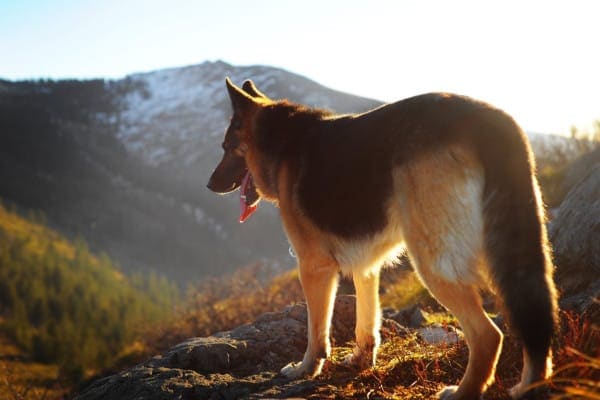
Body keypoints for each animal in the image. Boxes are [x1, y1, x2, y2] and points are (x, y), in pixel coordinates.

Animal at [206, 79, 556, 400]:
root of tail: (492, 122)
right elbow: (367, 321)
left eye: (225, 147)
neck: (281, 140)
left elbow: (316, 331)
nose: (209, 185)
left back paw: (463, 391)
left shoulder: (314, 267)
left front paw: (307, 368)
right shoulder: (366, 266)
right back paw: (531, 385)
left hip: (433, 261)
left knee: (488, 336)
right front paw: (362, 360)